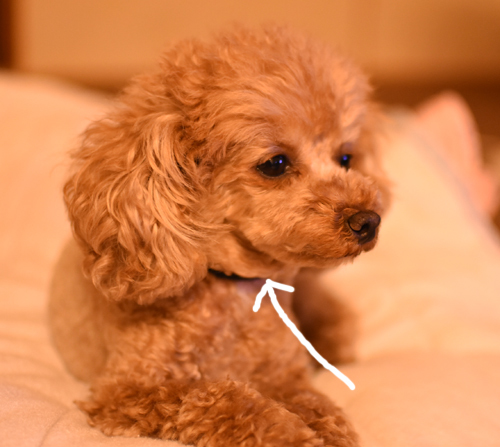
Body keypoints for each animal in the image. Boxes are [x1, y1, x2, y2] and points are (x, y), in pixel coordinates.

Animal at [50, 25, 389, 447]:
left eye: (345, 158)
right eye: (275, 164)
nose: (368, 221)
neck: (233, 286)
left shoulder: (283, 373)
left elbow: (313, 400)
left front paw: (327, 427)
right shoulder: (130, 389)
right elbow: (223, 399)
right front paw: (287, 433)